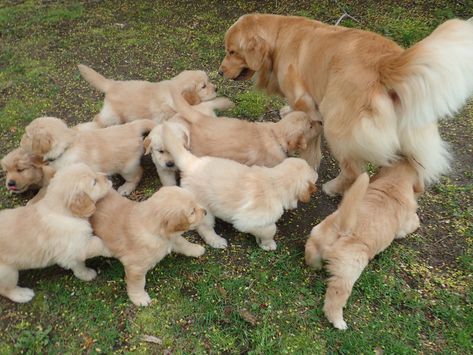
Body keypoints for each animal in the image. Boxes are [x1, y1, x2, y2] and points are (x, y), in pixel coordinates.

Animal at [0, 163, 111, 304]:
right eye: (94, 182)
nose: (108, 177)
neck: (61, 212)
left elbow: (78, 265)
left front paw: (84, 274)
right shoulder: (75, 247)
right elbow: (96, 244)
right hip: (7, 272)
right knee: (6, 289)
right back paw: (23, 294)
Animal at [20, 117, 155, 196]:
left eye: (27, 136)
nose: (20, 142)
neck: (66, 148)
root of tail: (133, 127)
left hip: (127, 168)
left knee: (137, 174)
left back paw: (126, 188)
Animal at [161, 124, 318, 252]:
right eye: (312, 173)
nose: (317, 172)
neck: (274, 183)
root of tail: (192, 163)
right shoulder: (246, 221)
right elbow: (270, 228)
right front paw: (268, 243)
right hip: (204, 208)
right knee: (204, 228)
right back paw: (216, 241)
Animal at [219, 13, 472, 195]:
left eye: (232, 51)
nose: (220, 72)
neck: (281, 36)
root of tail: (387, 63)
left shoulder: (306, 100)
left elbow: (310, 137)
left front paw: (309, 162)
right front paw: (287, 111)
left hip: (337, 123)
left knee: (354, 172)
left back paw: (332, 188)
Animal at [304, 160, 422, 330]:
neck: (394, 184)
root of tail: (343, 230)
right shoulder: (403, 226)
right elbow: (413, 222)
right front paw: (417, 219)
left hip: (317, 237)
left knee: (311, 254)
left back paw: (316, 265)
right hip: (348, 272)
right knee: (335, 299)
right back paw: (339, 322)